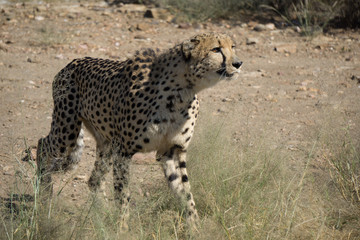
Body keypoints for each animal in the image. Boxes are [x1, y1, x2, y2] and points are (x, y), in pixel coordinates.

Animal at [35, 32, 242, 228]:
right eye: (216, 49)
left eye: (233, 46)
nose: (238, 63)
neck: (182, 91)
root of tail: (72, 62)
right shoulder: (123, 151)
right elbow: (123, 194)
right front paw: (122, 228)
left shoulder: (172, 150)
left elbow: (185, 193)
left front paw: (195, 227)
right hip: (67, 130)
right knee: (43, 144)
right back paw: (44, 194)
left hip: (105, 142)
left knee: (94, 179)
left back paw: (102, 214)